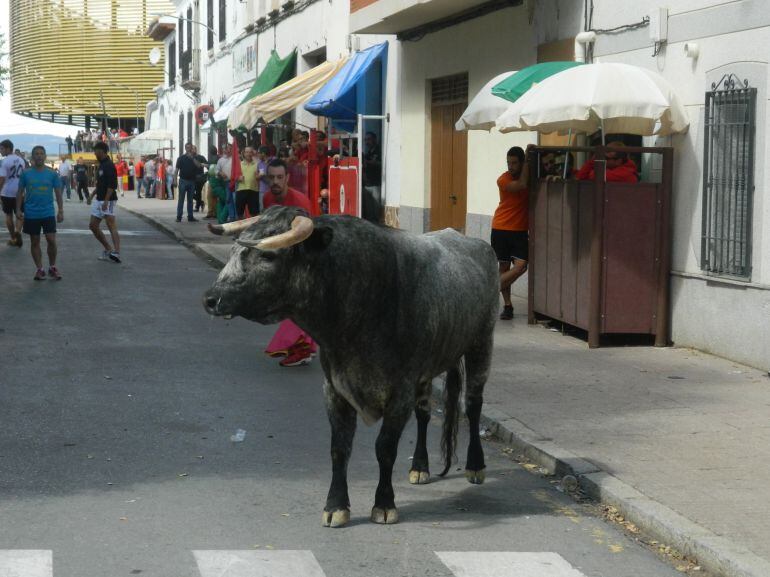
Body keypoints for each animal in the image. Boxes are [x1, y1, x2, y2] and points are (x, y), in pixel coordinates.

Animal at [202, 206, 498, 528]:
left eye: (268, 256)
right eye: (234, 249)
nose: (211, 299)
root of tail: (471, 241)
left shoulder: (399, 394)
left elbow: (385, 448)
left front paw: (384, 504)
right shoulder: (335, 389)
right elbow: (339, 449)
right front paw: (336, 506)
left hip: (481, 345)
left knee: (473, 406)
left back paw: (476, 466)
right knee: (424, 413)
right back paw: (420, 467)